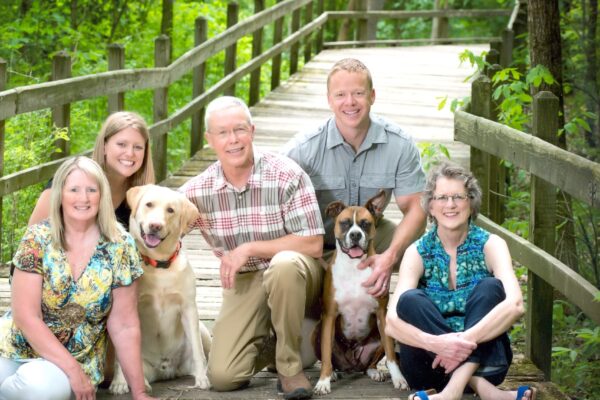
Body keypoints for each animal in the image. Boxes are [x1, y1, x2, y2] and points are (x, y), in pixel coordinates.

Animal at [314, 190, 408, 394]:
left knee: (370, 364)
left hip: (378, 338)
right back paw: (333, 374)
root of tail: (352, 365)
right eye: (345, 223)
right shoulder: (329, 316)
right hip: (318, 332)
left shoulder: (381, 314)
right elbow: (326, 354)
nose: (356, 234)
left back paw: (374, 372)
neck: (354, 266)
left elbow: (391, 355)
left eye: (365, 223)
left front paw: (399, 378)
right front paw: (323, 381)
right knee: (330, 358)